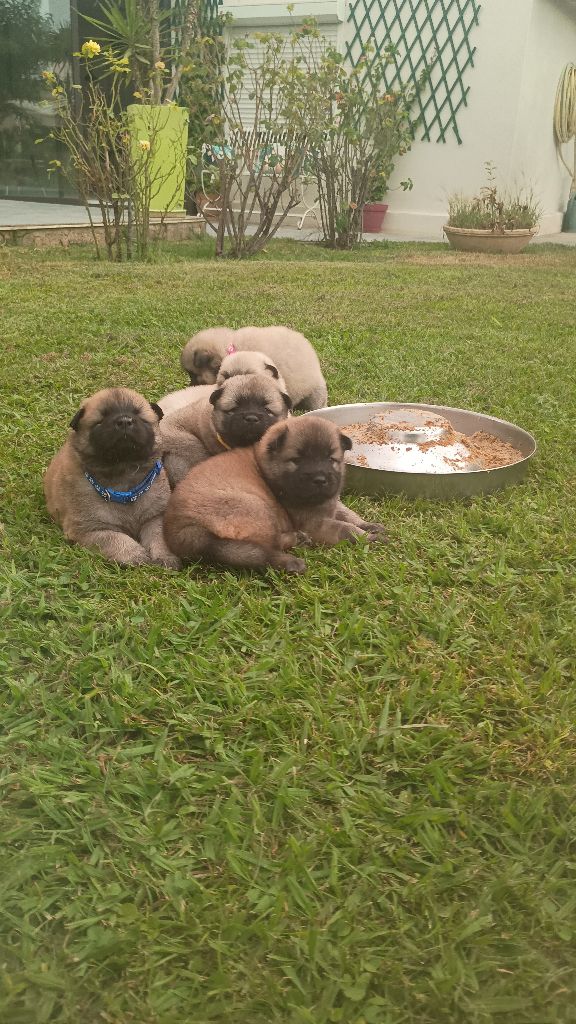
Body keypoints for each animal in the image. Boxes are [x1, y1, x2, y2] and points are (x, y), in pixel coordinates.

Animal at [43, 387, 179, 573]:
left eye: (139, 416)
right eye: (101, 420)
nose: (124, 421)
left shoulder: (155, 517)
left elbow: (159, 535)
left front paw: (165, 556)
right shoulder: (91, 529)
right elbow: (116, 539)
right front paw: (136, 556)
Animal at [163, 415, 383, 577]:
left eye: (331, 459)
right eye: (297, 460)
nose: (320, 479)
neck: (266, 468)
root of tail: (186, 530)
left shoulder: (329, 504)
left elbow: (347, 514)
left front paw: (370, 526)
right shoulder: (313, 524)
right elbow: (345, 528)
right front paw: (368, 537)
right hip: (255, 506)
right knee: (268, 545)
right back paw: (294, 546)